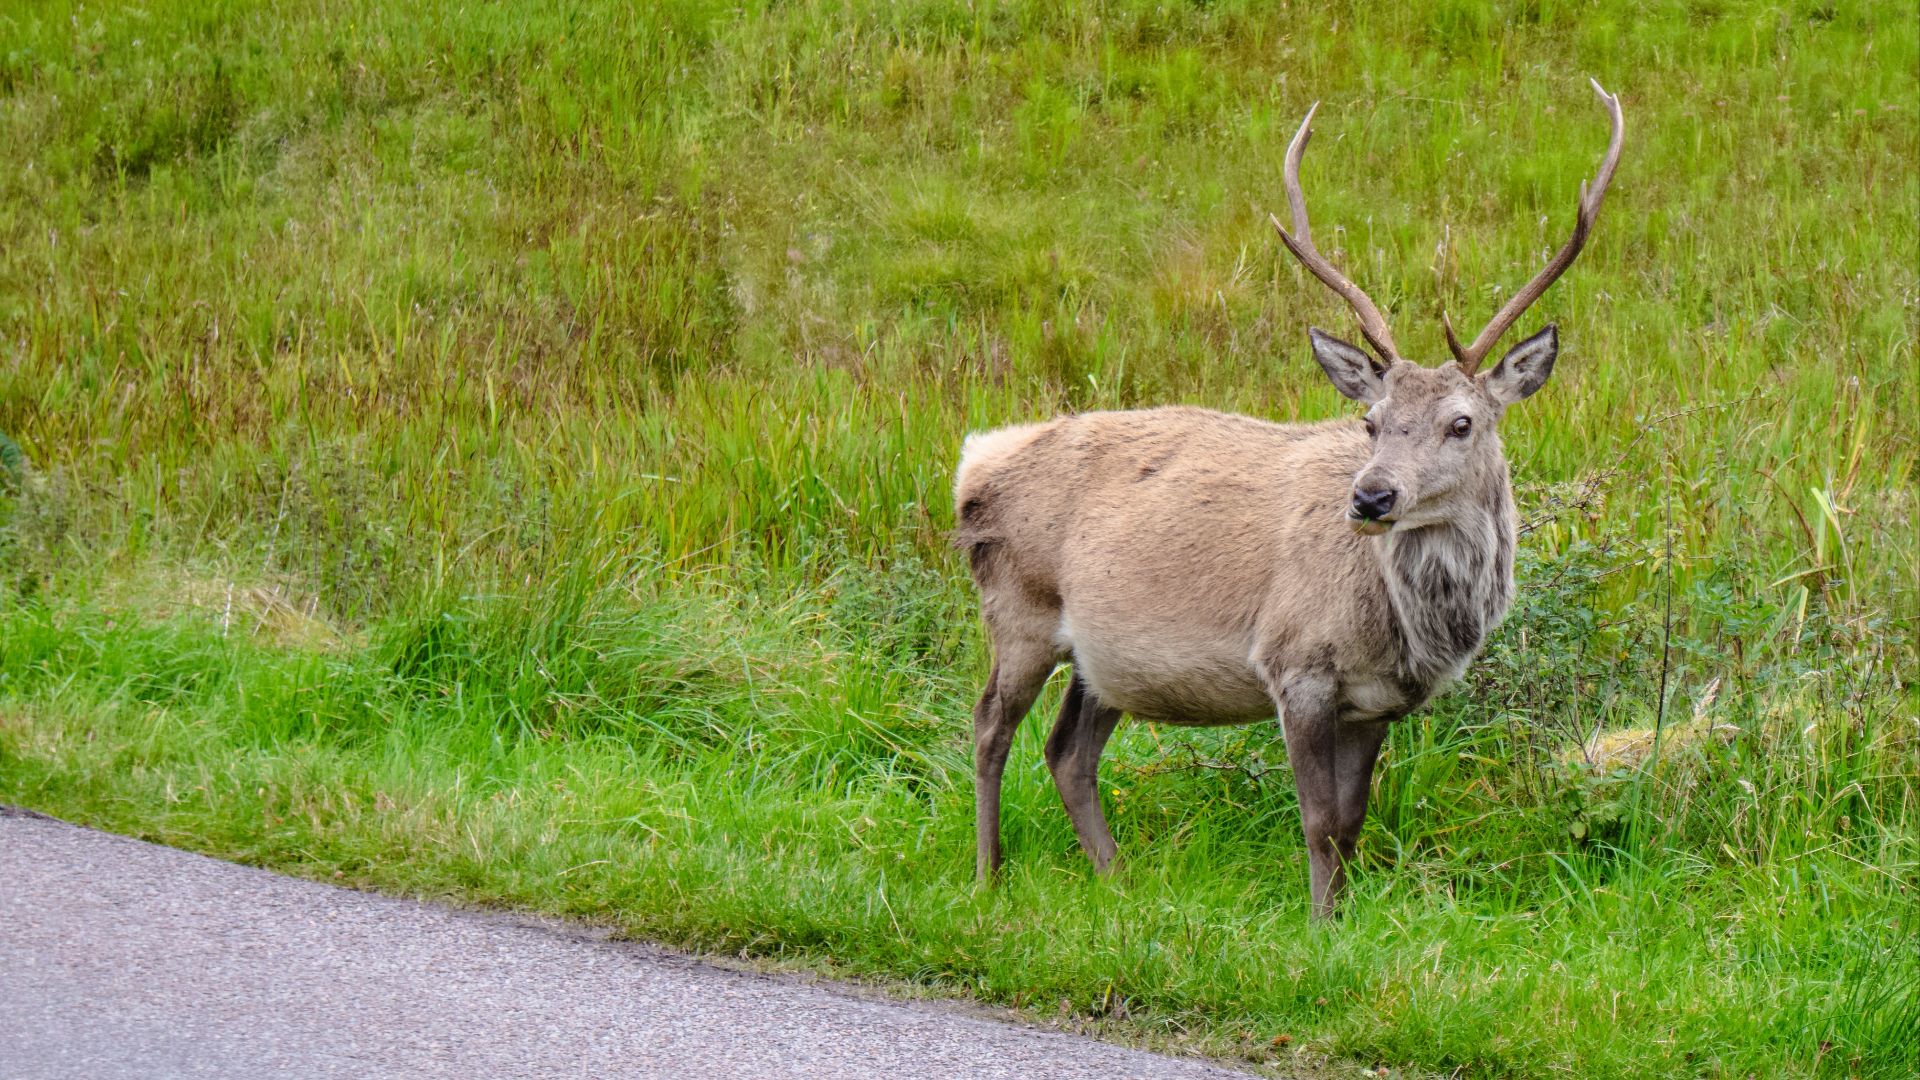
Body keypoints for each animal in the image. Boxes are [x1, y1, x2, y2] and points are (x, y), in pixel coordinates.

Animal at [953, 80, 1624, 916]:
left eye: (1462, 422)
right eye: (1371, 420)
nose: (1371, 497)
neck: (1406, 624)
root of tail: (974, 465)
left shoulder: (1376, 700)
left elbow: (1353, 823)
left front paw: (1342, 922)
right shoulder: (1294, 663)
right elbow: (1318, 821)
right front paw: (1317, 927)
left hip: (1100, 655)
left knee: (1067, 750)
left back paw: (1117, 880)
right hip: (1018, 607)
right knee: (989, 725)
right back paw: (988, 875)